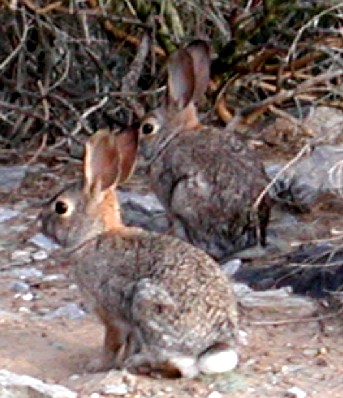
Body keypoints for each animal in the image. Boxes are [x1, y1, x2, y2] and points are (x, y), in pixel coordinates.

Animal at [41, 128, 239, 380]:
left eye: (61, 207)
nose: (40, 222)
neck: (94, 236)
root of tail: (212, 347)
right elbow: (129, 342)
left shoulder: (111, 315)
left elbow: (112, 343)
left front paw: (97, 366)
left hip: (148, 303)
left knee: (178, 367)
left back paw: (140, 365)